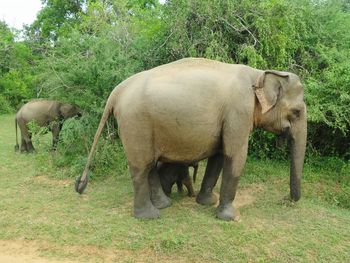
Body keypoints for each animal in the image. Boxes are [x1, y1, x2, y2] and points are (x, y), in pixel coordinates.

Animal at [74, 58, 306, 222]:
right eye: (296, 112)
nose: (288, 199)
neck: (259, 73)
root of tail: (116, 91)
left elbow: (219, 156)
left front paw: (207, 202)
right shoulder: (238, 111)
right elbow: (235, 156)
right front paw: (229, 217)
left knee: (150, 165)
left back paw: (164, 204)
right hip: (136, 123)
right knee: (141, 166)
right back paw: (149, 216)